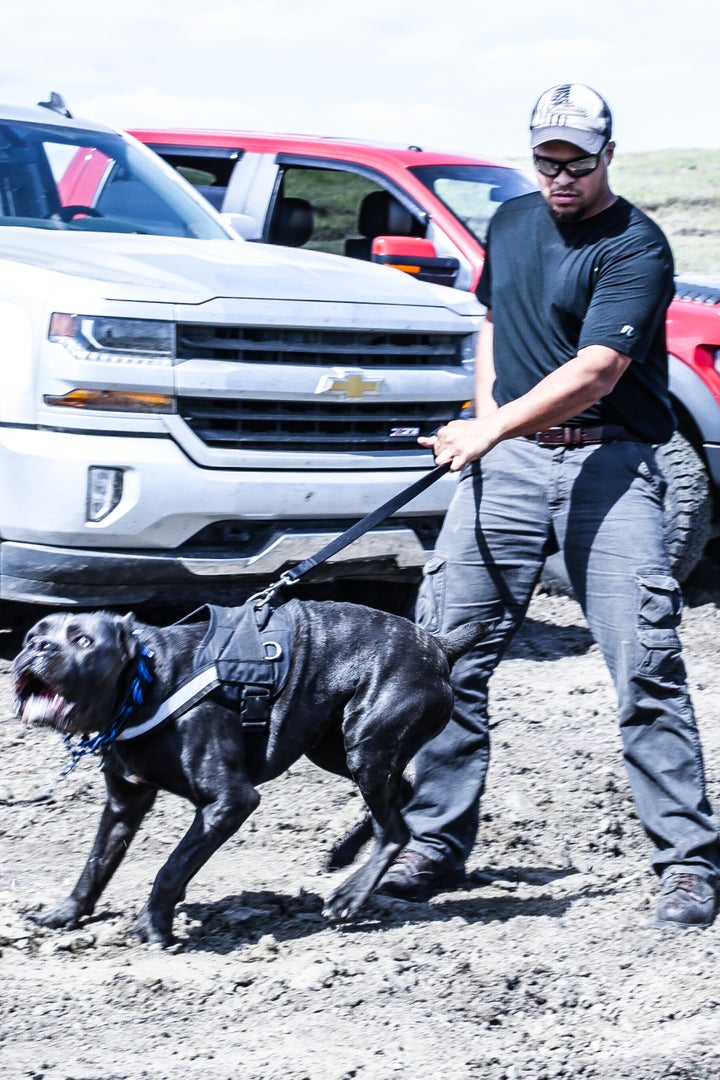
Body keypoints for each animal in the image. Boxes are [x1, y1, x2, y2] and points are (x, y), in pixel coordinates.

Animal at [12, 600, 490, 946]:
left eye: (83, 641)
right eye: (33, 635)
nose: (36, 649)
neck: (144, 683)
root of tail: (437, 644)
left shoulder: (228, 802)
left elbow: (171, 867)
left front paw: (152, 927)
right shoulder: (123, 802)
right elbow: (97, 863)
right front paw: (66, 913)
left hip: (366, 745)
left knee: (394, 828)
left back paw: (349, 896)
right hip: (336, 748)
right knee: (399, 794)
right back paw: (343, 853)